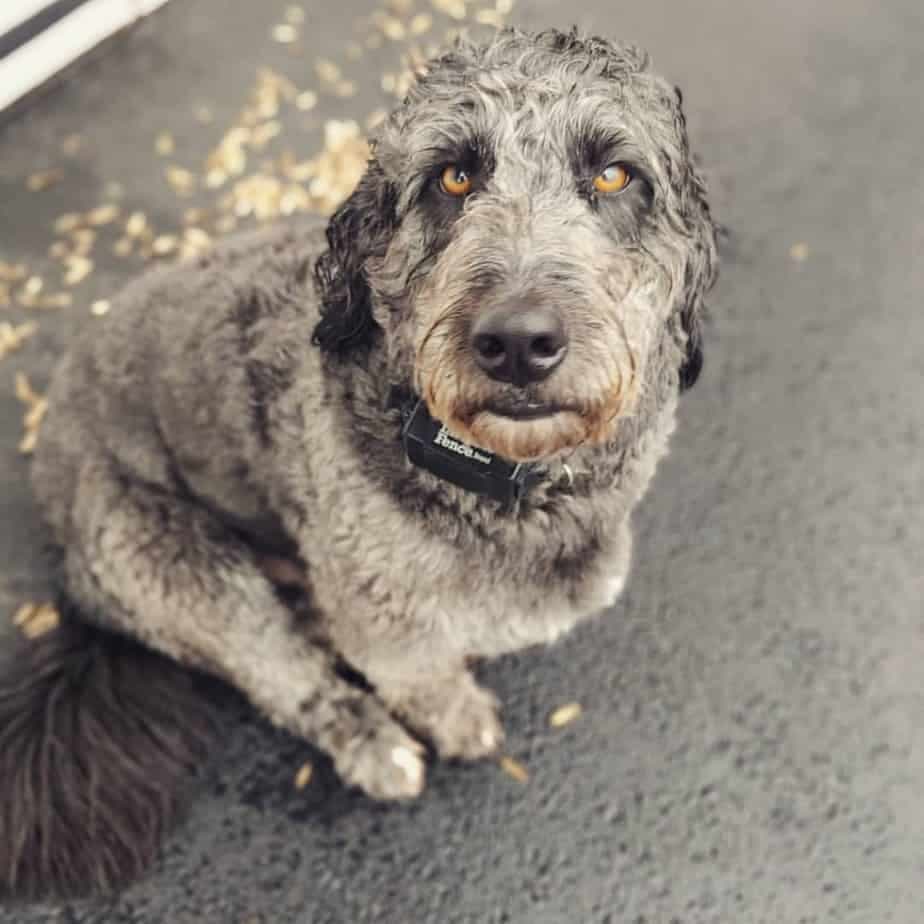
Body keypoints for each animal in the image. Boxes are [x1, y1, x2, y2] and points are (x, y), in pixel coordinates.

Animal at [0, 25, 720, 900]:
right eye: (453, 176)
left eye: (614, 175)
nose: (517, 341)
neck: (501, 482)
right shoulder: (388, 626)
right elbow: (422, 679)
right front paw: (457, 720)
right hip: (171, 563)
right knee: (287, 678)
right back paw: (371, 740)